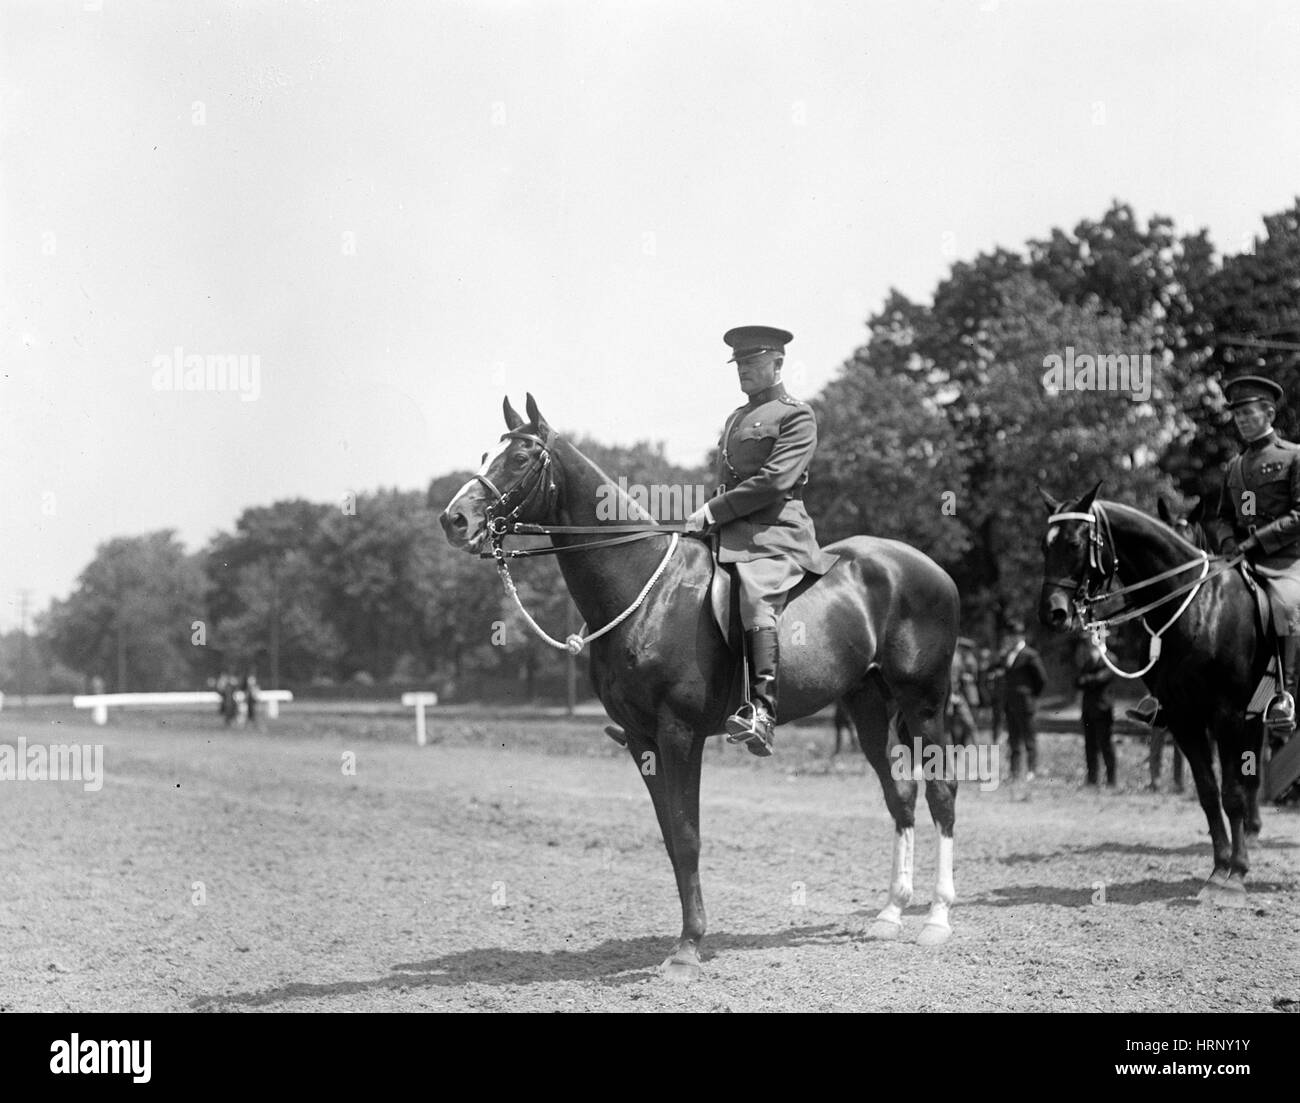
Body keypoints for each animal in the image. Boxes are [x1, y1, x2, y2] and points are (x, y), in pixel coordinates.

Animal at [441, 395, 961, 983]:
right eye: (488, 453)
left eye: (523, 457)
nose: (453, 519)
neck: (646, 590)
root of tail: (928, 567)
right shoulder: (642, 740)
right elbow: (671, 836)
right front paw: (688, 934)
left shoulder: (679, 734)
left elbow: (688, 835)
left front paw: (688, 947)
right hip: (867, 706)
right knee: (901, 796)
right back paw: (891, 913)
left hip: (924, 704)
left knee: (942, 793)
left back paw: (936, 919)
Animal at [1040, 486, 1263, 900]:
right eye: (1044, 545)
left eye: (1075, 543)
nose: (1053, 613)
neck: (1197, 607)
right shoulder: (1183, 717)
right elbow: (1209, 793)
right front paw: (1219, 869)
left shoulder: (1229, 716)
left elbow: (1235, 791)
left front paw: (1237, 873)